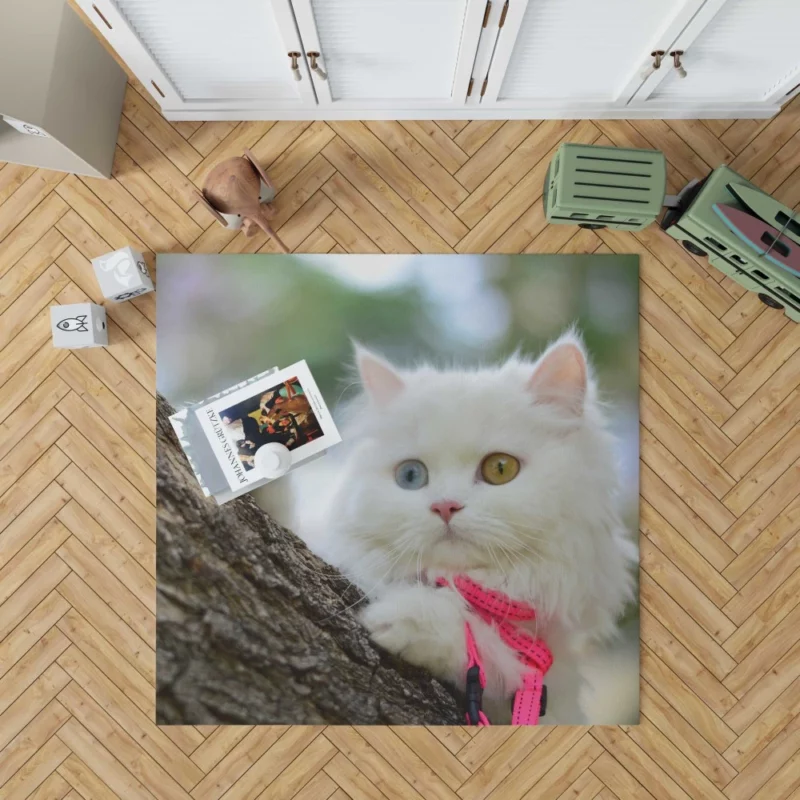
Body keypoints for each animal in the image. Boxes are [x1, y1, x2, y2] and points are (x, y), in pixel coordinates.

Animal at [256, 332, 636, 724]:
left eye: (500, 468)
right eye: (411, 475)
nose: (445, 506)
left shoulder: (548, 694)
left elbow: (483, 649)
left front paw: (410, 618)